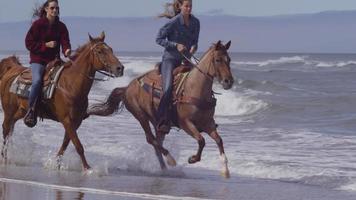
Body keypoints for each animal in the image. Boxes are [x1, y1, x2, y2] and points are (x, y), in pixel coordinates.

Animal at [0, 32, 124, 171]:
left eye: (111, 50)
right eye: (99, 51)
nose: (120, 68)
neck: (70, 86)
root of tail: (10, 69)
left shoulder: (76, 122)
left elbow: (66, 144)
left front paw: (56, 164)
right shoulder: (67, 120)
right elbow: (78, 145)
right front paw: (87, 169)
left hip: (21, 111)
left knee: (11, 129)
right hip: (9, 111)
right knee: (5, 129)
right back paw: (4, 158)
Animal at [88, 40, 234, 177]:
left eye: (229, 59)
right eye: (217, 60)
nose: (229, 82)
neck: (194, 88)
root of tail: (127, 87)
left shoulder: (208, 123)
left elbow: (219, 140)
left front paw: (225, 170)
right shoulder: (186, 123)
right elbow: (201, 140)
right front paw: (192, 159)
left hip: (158, 122)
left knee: (157, 143)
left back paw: (164, 169)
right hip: (140, 116)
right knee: (151, 139)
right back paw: (170, 160)